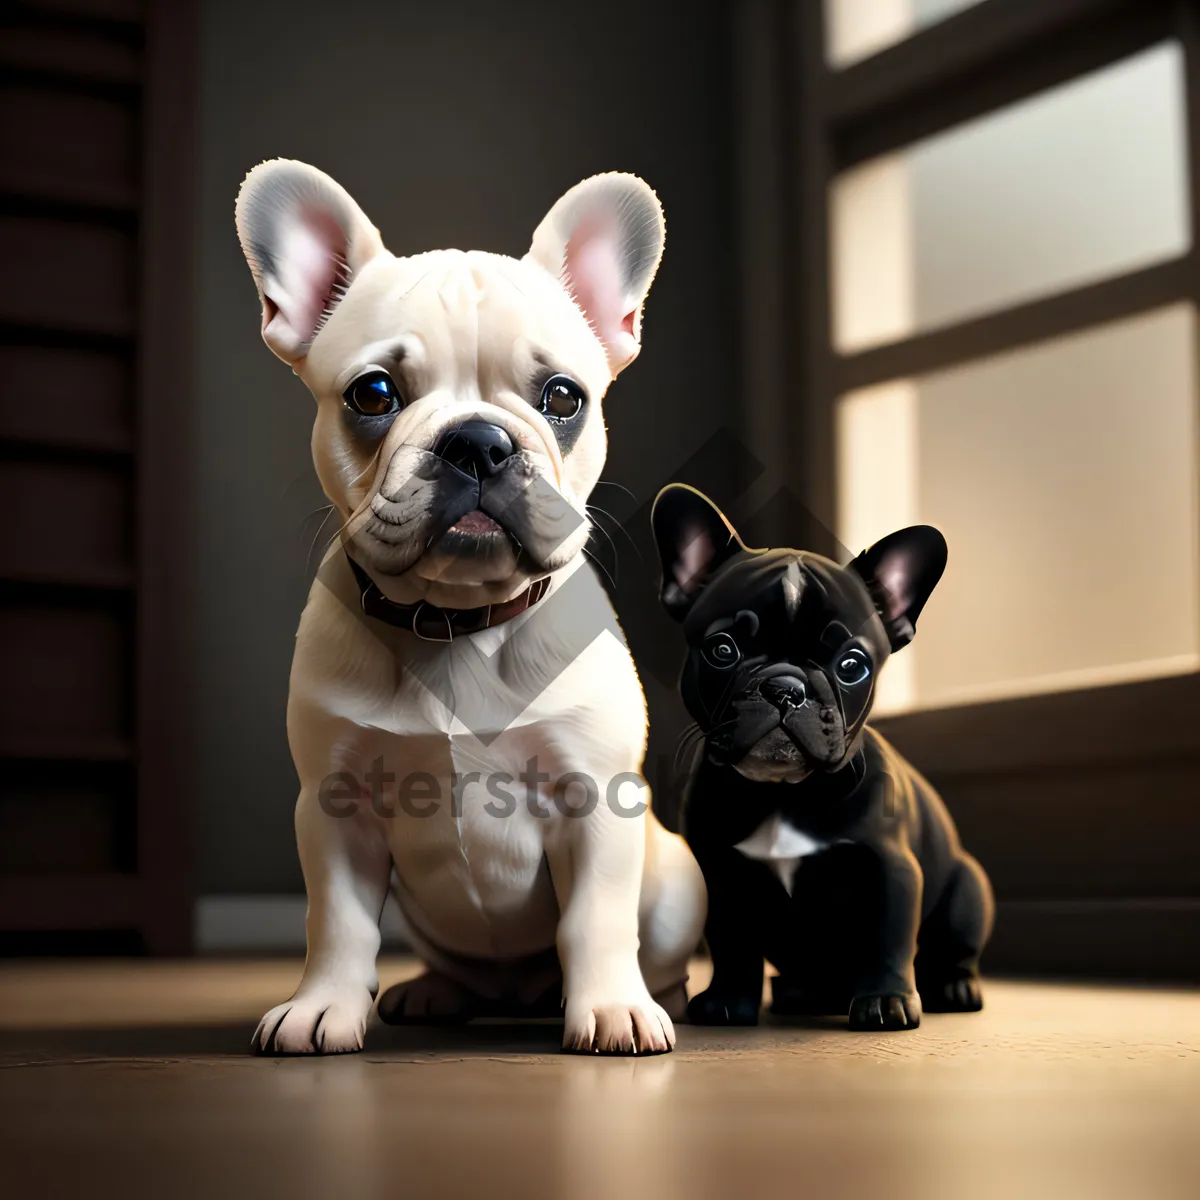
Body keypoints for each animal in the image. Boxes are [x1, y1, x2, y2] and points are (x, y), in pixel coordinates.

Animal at [232, 157, 700, 1051]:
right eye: (374, 393)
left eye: (563, 397)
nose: (478, 442)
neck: (457, 619)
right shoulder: (334, 810)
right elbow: (337, 922)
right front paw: (322, 1006)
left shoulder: (596, 800)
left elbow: (594, 919)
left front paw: (611, 1009)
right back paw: (434, 993)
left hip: (675, 888)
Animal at [657, 484, 993, 1032]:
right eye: (722, 650)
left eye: (852, 665)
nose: (785, 687)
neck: (782, 793)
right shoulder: (721, 873)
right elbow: (731, 940)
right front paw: (727, 999)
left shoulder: (890, 869)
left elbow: (888, 939)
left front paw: (886, 1001)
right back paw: (794, 993)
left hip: (969, 890)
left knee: (955, 949)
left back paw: (954, 987)